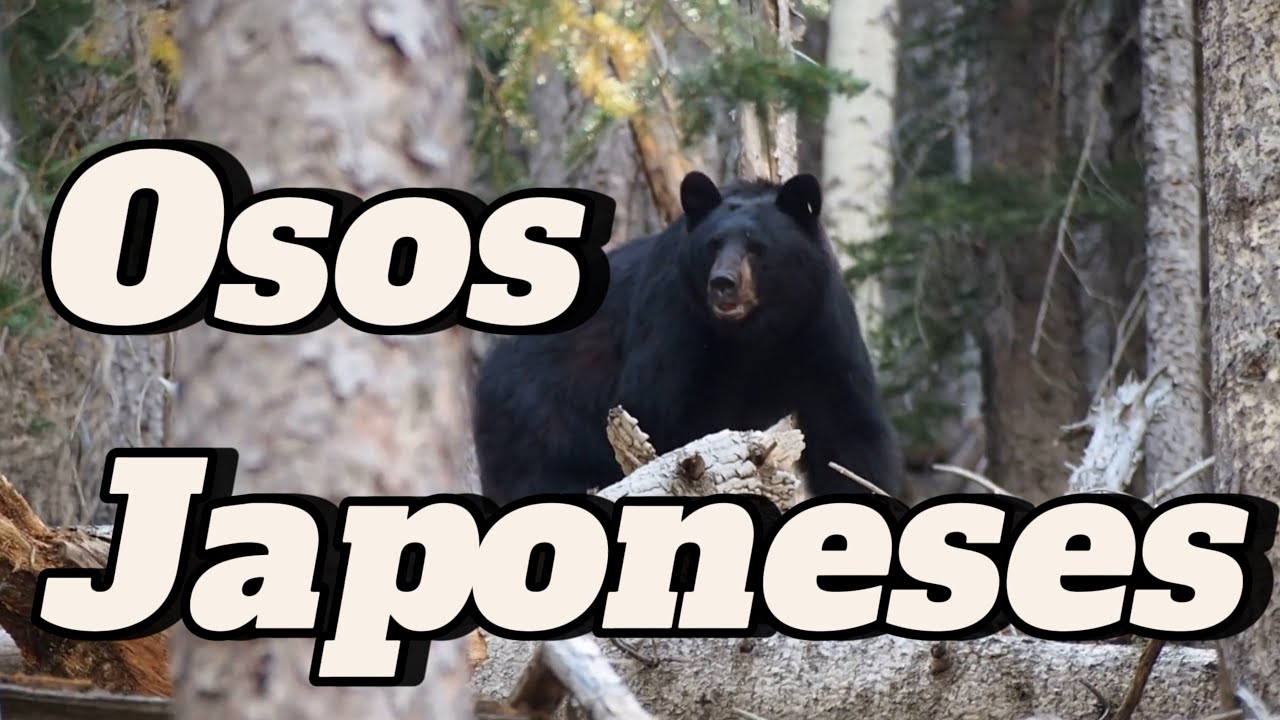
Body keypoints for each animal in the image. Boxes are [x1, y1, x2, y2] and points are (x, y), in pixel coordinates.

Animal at [471, 170, 902, 506]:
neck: (758, 333)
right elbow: (666, 415)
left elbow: (849, 433)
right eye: (713, 244)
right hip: (543, 419)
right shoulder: (675, 320)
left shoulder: (820, 329)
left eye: (757, 246)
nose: (723, 283)